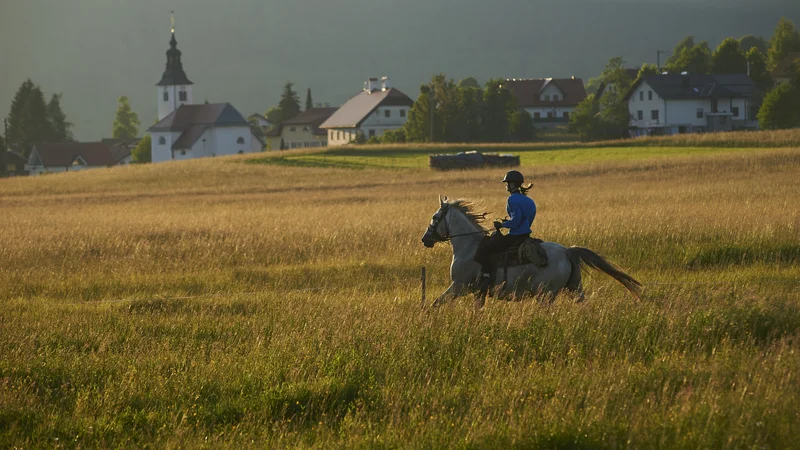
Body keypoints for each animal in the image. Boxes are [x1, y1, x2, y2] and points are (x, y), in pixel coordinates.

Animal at [422, 198, 640, 310]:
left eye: (434, 216)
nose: (425, 239)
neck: (469, 246)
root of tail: (567, 251)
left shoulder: (458, 287)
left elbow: (435, 303)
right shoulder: (477, 293)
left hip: (545, 295)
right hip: (574, 288)